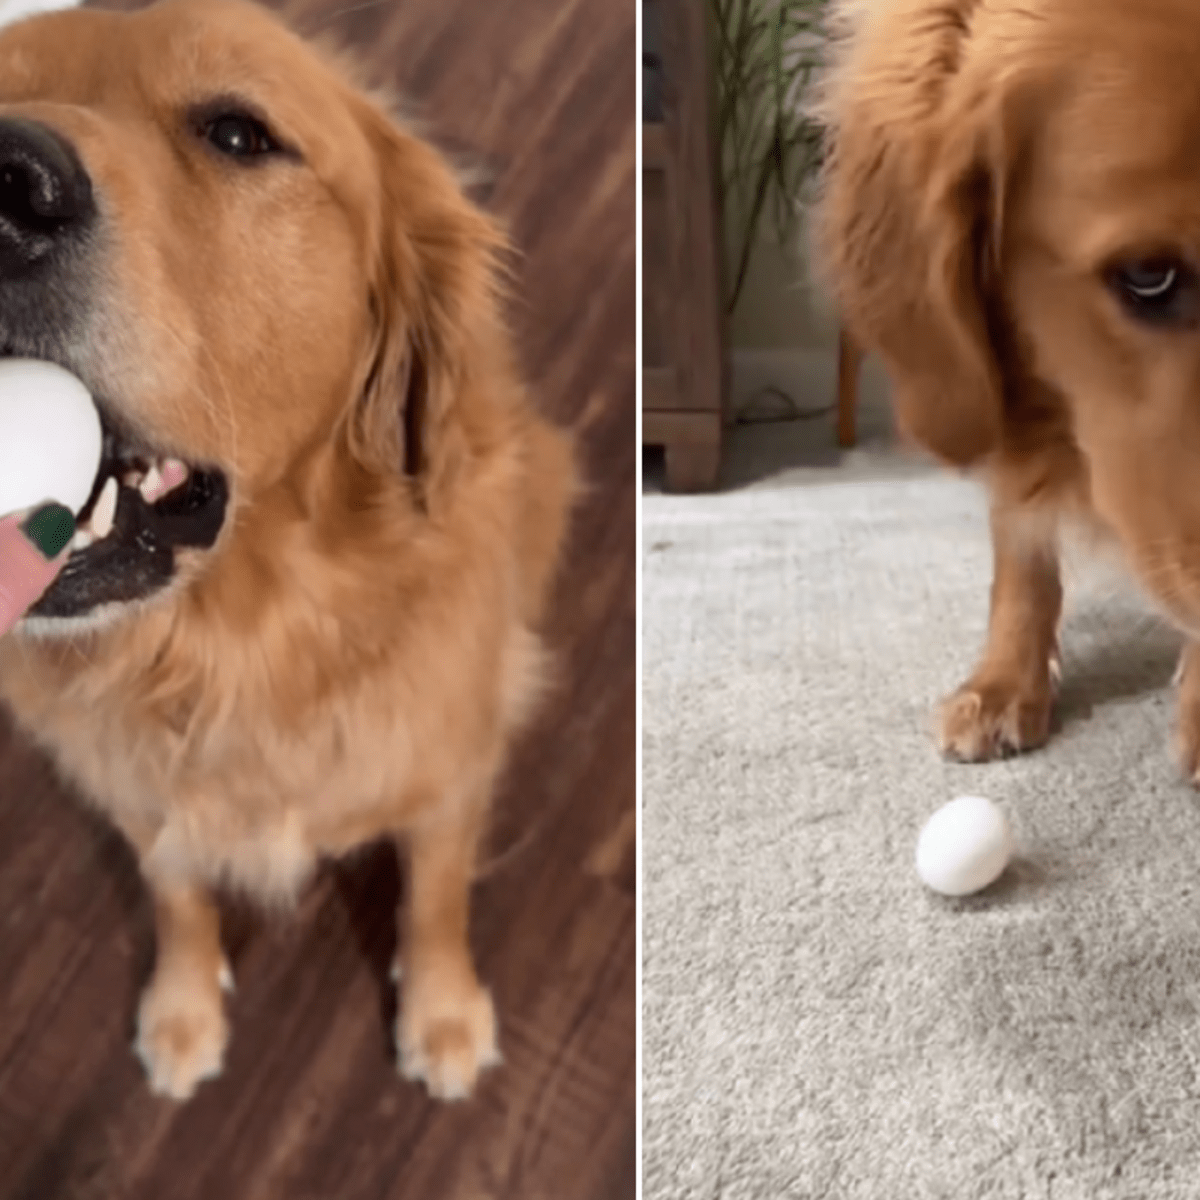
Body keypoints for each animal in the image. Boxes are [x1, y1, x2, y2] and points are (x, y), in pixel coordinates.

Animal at [0, 0, 573, 1099]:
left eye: (237, 133)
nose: (6, 184)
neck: (236, 655)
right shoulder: (143, 801)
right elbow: (178, 896)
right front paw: (182, 1012)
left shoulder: (450, 775)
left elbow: (435, 899)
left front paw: (440, 1013)